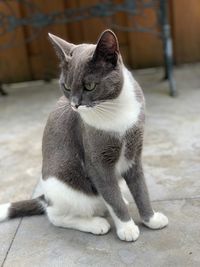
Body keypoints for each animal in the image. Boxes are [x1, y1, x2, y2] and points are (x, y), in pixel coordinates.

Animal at [0, 29, 168, 243]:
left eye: (89, 86)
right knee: (56, 216)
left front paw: (151, 219)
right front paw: (127, 228)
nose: (75, 104)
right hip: (66, 187)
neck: (115, 109)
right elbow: (112, 196)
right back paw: (96, 224)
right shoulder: (97, 162)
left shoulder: (134, 153)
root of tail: (45, 197)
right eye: (66, 86)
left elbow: (141, 189)